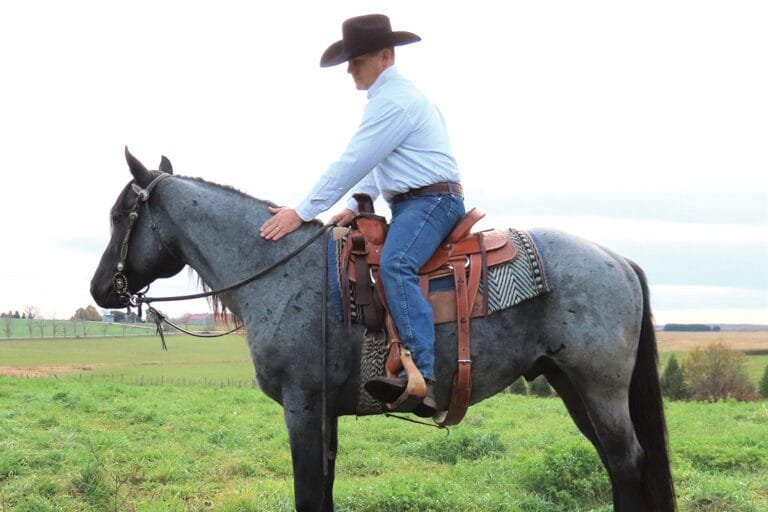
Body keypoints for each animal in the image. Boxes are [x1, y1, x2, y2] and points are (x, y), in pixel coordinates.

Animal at [90, 149, 676, 512]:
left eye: (121, 214)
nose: (100, 290)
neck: (281, 270)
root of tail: (619, 260)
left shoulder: (303, 404)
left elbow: (309, 493)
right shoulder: (324, 411)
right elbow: (324, 490)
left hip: (599, 387)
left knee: (627, 462)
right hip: (571, 384)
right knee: (617, 462)